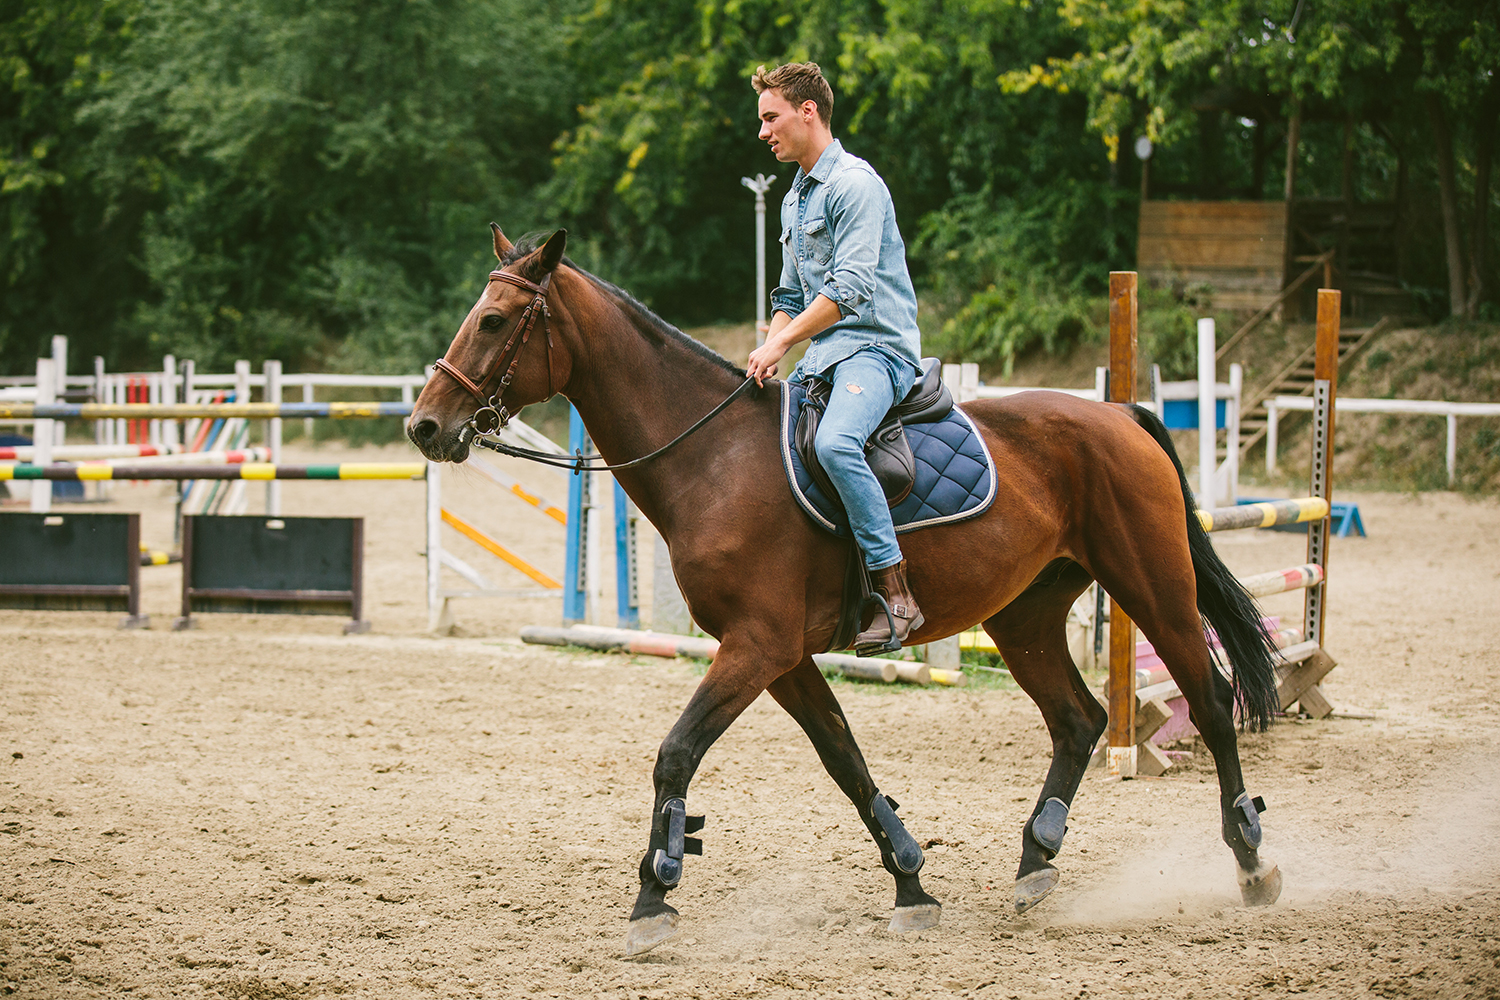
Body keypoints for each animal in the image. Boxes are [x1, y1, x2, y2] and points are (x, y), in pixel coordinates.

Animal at [405, 226, 1284, 953]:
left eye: (493, 322)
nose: (423, 426)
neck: (712, 457)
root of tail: (1120, 416)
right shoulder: (783, 657)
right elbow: (846, 763)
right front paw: (911, 884)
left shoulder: (756, 647)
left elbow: (676, 755)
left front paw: (655, 894)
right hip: (1025, 616)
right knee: (1078, 720)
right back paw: (1036, 859)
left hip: (1151, 582)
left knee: (1210, 702)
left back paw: (1251, 863)